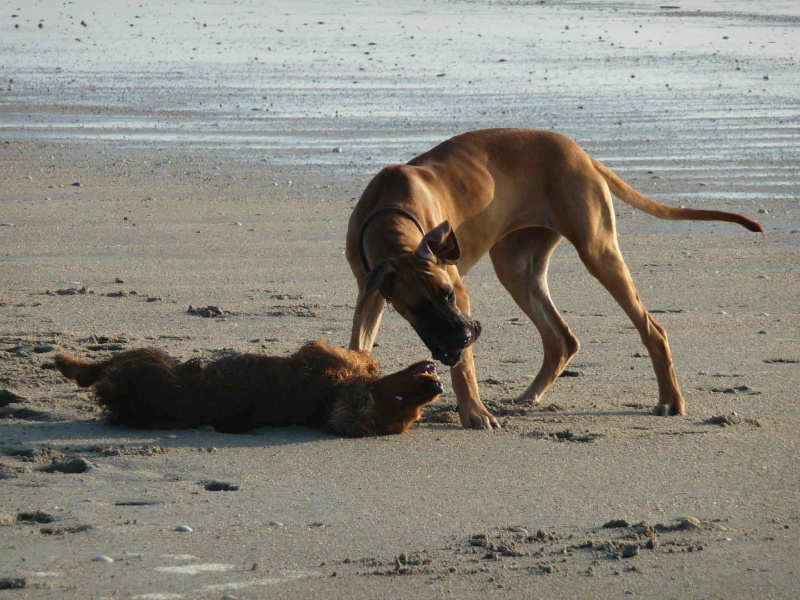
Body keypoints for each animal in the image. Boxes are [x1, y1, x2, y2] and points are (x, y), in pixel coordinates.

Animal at [348, 127, 764, 426]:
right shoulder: (369, 295)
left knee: (652, 329)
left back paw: (670, 400)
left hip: (597, 251)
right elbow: (359, 345)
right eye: (418, 307)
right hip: (517, 267)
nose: (466, 335)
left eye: (447, 295)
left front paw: (475, 413)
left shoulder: (459, 292)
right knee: (561, 338)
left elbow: (464, 368)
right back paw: (529, 397)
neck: (393, 215)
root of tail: (582, 154)